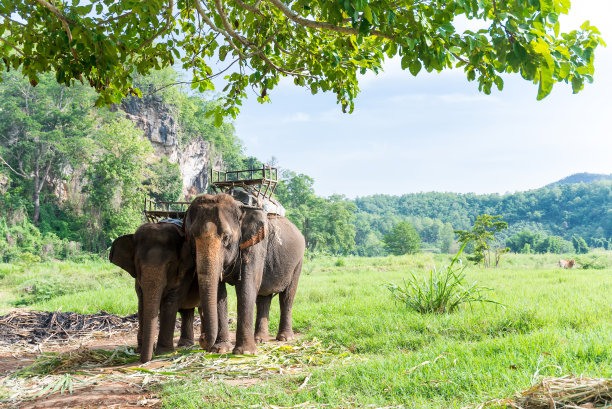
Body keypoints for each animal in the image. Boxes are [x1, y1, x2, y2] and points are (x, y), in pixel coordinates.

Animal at [107, 222, 198, 362]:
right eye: (138, 263)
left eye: (170, 264)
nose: (144, 360)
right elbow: (142, 301)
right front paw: (140, 350)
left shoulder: (185, 273)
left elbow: (170, 300)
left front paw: (164, 352)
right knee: (187, 311)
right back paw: (185, 345)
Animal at [183, 193, 304, 356]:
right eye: (192, 237)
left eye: (226, 237)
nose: (202, 339)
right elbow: (219, 292)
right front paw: (220, 349)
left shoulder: (256, 246)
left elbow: (246, 287)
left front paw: (244, 352)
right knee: (263, 298)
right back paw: (260, 339)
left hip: (298, 262)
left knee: (287, 297)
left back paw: (284, 338)